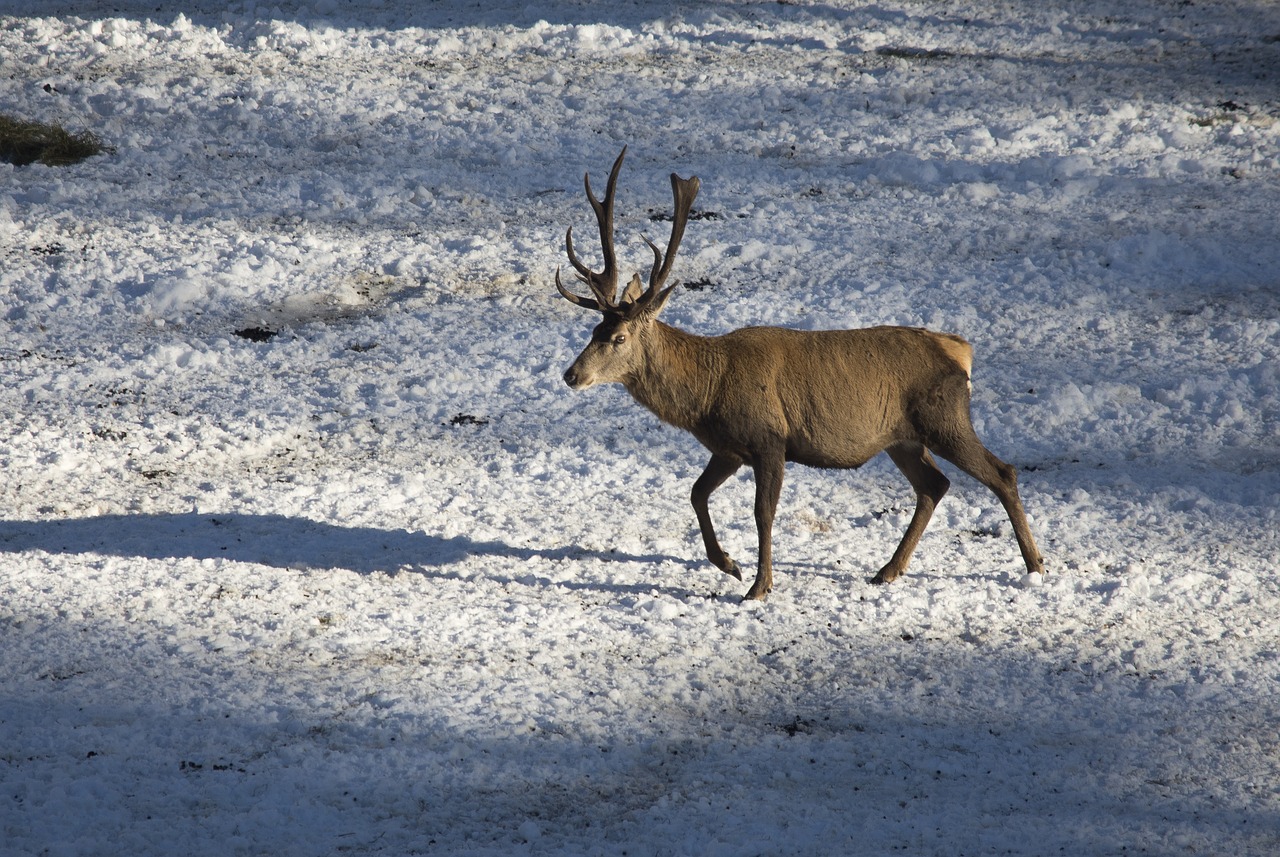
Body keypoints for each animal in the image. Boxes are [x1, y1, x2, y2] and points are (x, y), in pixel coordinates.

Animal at [555, 149, 1044, 603]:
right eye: (593, 330)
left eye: (618, 337)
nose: (570, 374)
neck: (708, 394)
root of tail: (962, 351)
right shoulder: (729, 448)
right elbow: (696, 493)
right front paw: (728, 564)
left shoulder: (770, 437)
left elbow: (762, 513)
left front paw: (759, 586)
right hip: (902, 438)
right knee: (935, 485)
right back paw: (888, 570)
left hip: (944, 416)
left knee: (1002, 472)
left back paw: (1035, 566)